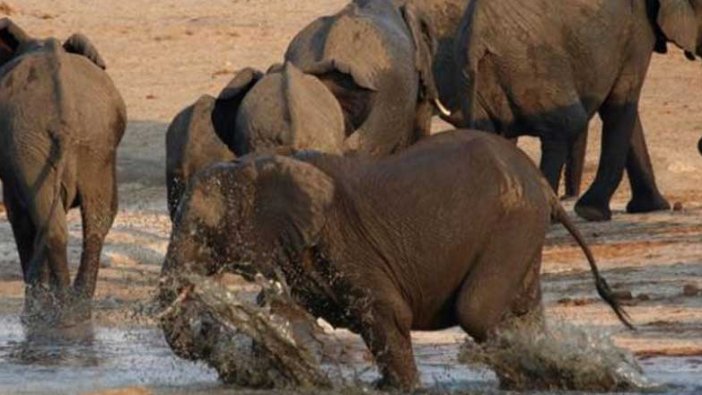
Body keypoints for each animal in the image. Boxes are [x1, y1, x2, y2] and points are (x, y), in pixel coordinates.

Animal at [0, 17, 126, 322]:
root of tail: (64, 110)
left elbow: (19, 215)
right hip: (96, 140)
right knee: (98, 219)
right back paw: (77, 304)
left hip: (27, 142)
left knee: (48, 222)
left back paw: (49, 307)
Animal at [160, 129, 632, 390]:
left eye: (201, 233)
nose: (206, 326)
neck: (257, 164)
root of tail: (543, 186)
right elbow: (288, 317)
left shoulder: (344, 244)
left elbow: (386, 314)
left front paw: (400, 387)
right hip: (522, 230)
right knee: (523, 308)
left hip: (512, 222)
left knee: (477, 311)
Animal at [446, 0, 702, 223]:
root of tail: (476, 40)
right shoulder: (636, 31)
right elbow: (620, 102)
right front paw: (592, 212)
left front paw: (652, 207)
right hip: (535, 65)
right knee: (566, 125)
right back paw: (547, 215)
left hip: (478, 79)